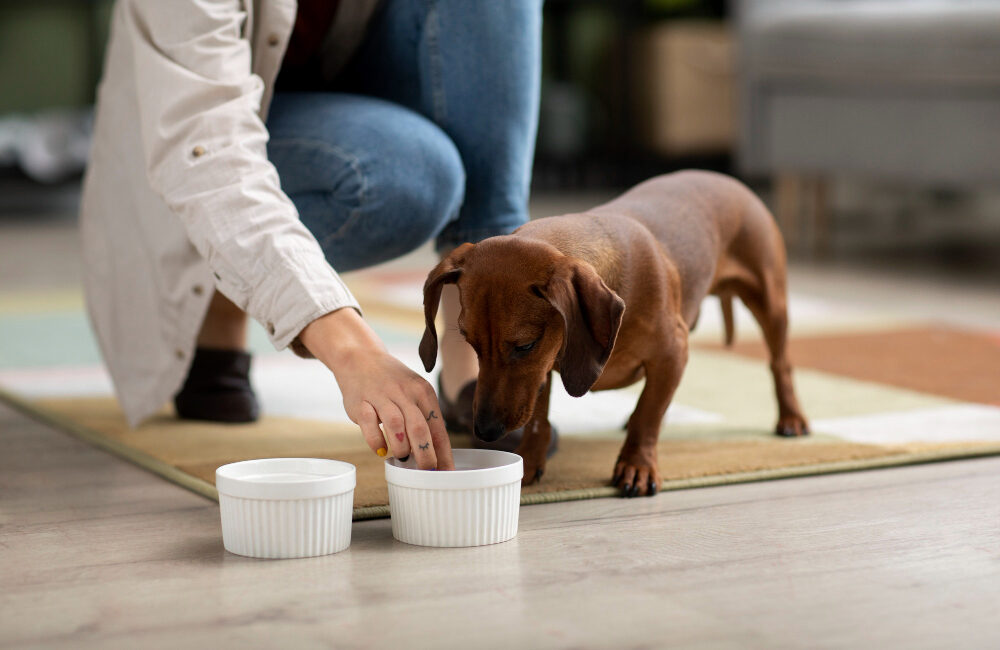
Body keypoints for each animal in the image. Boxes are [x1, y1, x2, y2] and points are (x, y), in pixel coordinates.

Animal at [418, 171, 808, 496]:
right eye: (470, 343)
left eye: (525, 345)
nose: (485, 431)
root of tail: (727, 178)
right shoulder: (544, 371)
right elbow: (539, 419)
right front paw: (529, 459)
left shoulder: (672, 353)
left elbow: (647, 417)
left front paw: (638, 465)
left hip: (770, 302)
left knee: (780, 364)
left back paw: (791, 417)